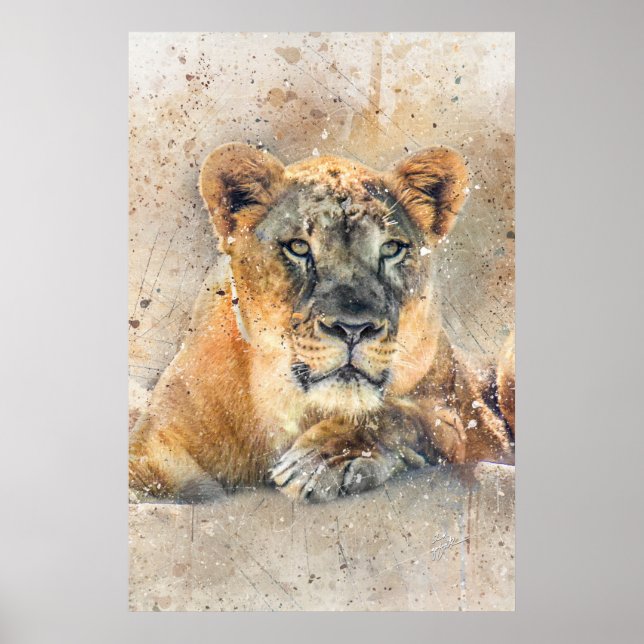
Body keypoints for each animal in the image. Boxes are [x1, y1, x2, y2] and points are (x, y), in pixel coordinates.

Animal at [129, 143, 515, 503]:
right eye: (299, 248)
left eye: (391, 249)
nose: (353, 329)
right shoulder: (154, 445)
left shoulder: (461, 425)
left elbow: (400, 415)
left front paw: (320, 462)